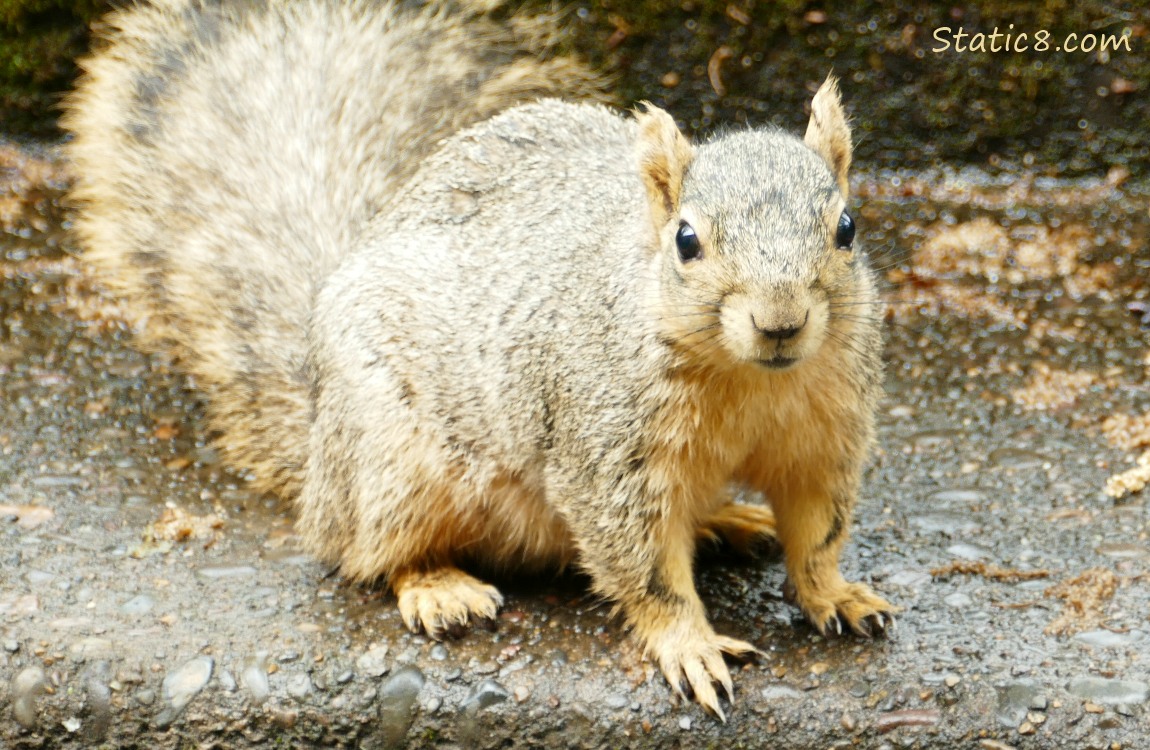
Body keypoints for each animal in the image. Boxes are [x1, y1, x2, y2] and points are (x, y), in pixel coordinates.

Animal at [62, 0, 892, 722]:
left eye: (847, 227)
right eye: (686, 240)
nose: (781, 322)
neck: (751, 382)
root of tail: (319, 451)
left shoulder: (827, 432)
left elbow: (818, 530)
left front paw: (835, 593)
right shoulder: (604, 447)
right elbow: (645, 567)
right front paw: (690, 645)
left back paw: (725, 518)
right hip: (393, 461)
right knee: (368, 553)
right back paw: (436, 587)